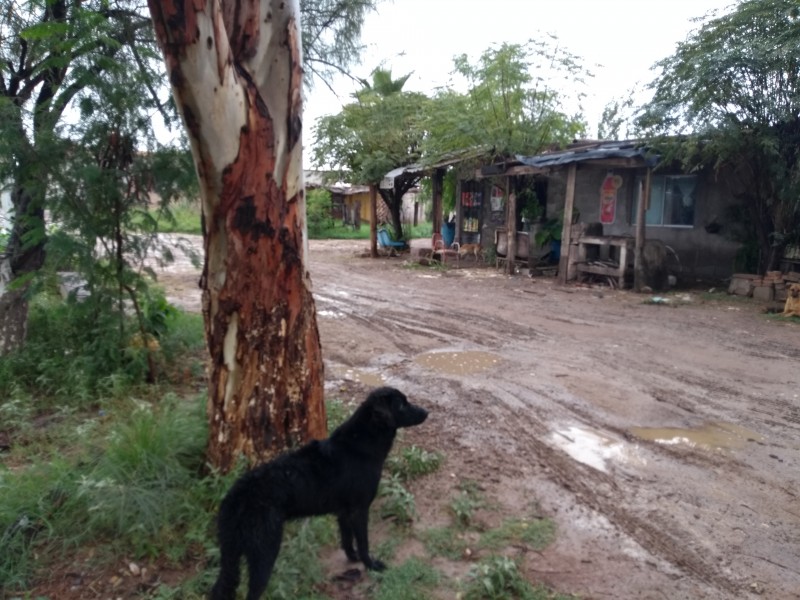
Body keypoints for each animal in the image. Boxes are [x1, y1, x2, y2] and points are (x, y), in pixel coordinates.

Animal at [209, 386, 428, 596]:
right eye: (401, 405)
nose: (426, 412)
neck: (361, 442)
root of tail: (236, 498)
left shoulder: (344, 512)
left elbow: (347, 541)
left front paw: (353, 558)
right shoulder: (359, 509)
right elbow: (364, 543)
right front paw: (371, 565)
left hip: (230, 555)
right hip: (264, 551)